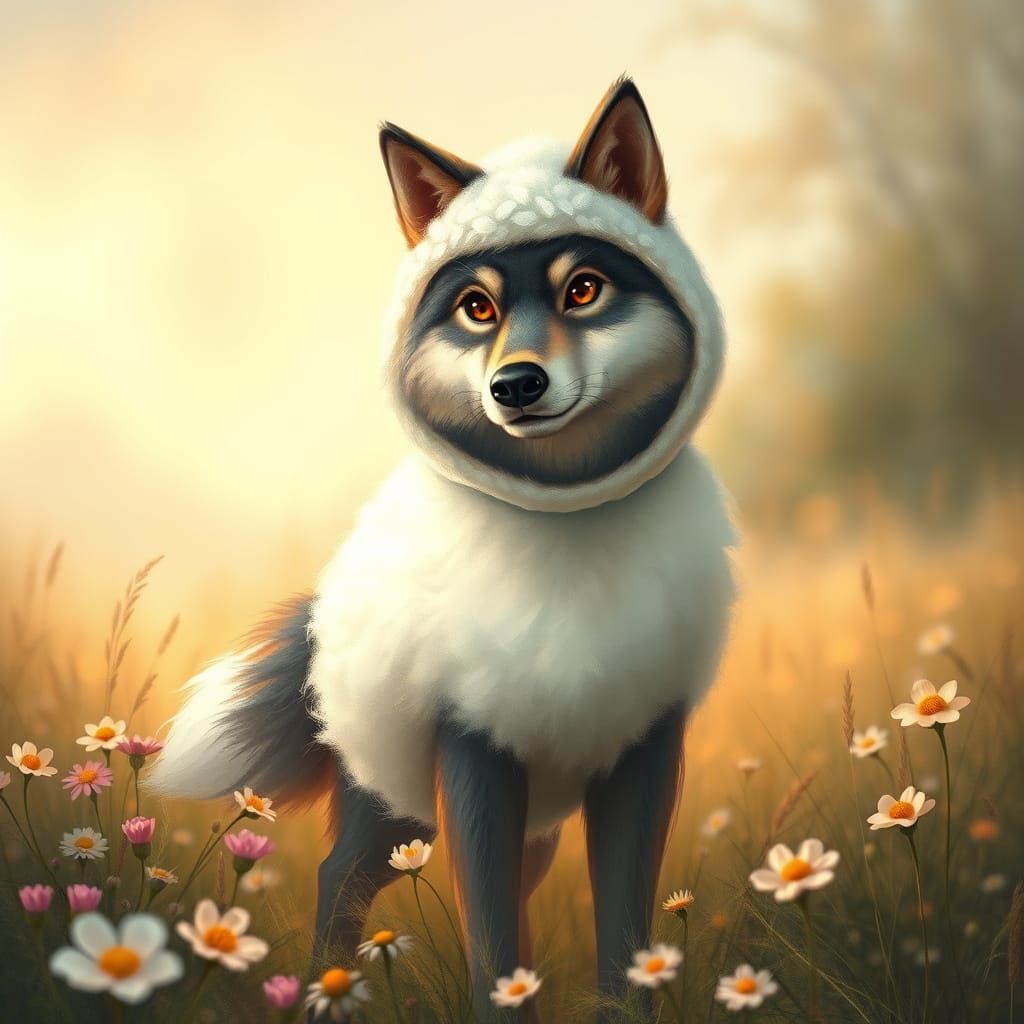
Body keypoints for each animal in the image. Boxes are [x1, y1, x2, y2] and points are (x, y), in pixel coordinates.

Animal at [148, 77, 736, 1021]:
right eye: (477, 308)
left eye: (583, 290)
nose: (516, 385)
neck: (566, 540)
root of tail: (329, 602)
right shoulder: (474, 753)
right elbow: (492, 949)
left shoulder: (644, 749)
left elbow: (621, 934)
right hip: (400, 804)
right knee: (339, 877)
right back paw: (324, 989)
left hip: (509, 823)